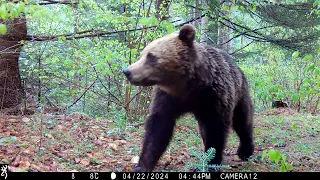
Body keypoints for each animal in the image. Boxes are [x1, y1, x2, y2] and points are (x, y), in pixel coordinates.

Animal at [122, 23, 255, 172]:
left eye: (151, 56)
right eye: (143, 54)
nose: (127, 71)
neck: (189, 86)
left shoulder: (215, 97)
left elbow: (217, 128)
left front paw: (211, 162)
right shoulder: (168, 98)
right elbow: (158, 128)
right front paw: (142, 165)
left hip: (240, 93)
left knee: (243, 121)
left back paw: (245, 151)